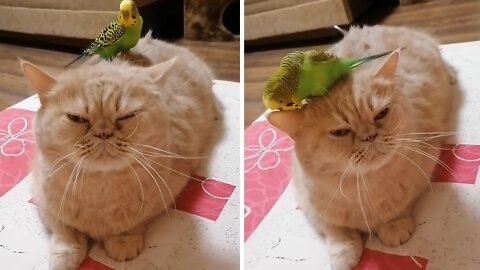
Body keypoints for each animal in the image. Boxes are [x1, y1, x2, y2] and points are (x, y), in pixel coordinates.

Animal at [20, 32, 219, 270]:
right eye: (76, 118)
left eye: (127, 116)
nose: (104, 133)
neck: (100, 190)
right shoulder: (42, 196)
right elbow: (63, 229)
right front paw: (65, 252)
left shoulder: (168, 190)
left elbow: (136, 221)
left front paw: (123, 239)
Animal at [268, 25, 460, 270]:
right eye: (340, 133)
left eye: (381, 114)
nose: (370, 136)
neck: (363, 187)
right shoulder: (309, 204)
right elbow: (335, 230)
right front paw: (343, 252)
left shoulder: (424, 167)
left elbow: (399, 206)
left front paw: (393, 225)